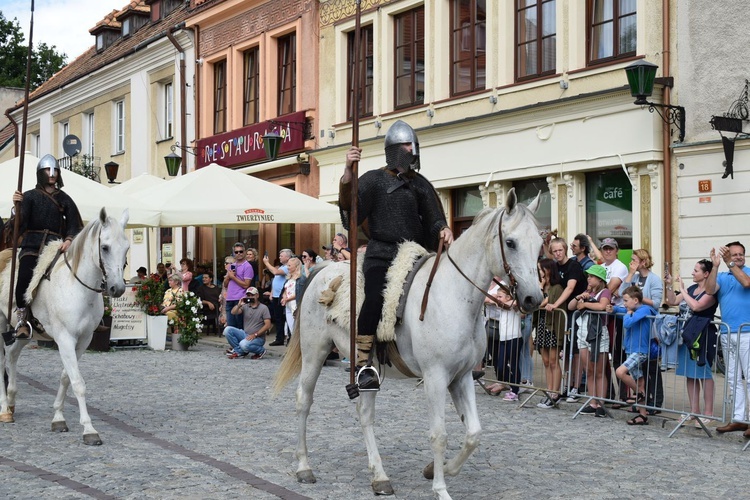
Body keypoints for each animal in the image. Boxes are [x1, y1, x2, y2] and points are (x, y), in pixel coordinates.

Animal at [0, 208, 130, 446]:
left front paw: (58, 418)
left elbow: (65, 377)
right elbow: (78, 382)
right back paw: (5, 409)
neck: (77, 287)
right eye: (105, 247)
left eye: (126, 248)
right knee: (1, 361)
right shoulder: (65, 339)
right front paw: (89, 429)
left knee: (12, 355)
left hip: (26, 333)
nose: (117, 289)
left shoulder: (83, 341)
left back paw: (12, 400)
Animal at [274, 189, 544, 498]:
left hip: (368, 369)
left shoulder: (462, 376)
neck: (453, 295)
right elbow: (439, 435)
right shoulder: (435, 377)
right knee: (304, 401)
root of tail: (324, 270)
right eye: (510, 243)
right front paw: (441, 488)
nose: (533, 299)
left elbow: (474, 433)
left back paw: (379, 476)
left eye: (540, 243)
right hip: (314, 352)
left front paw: (439, 469)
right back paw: (304, 467)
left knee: (364, 413)